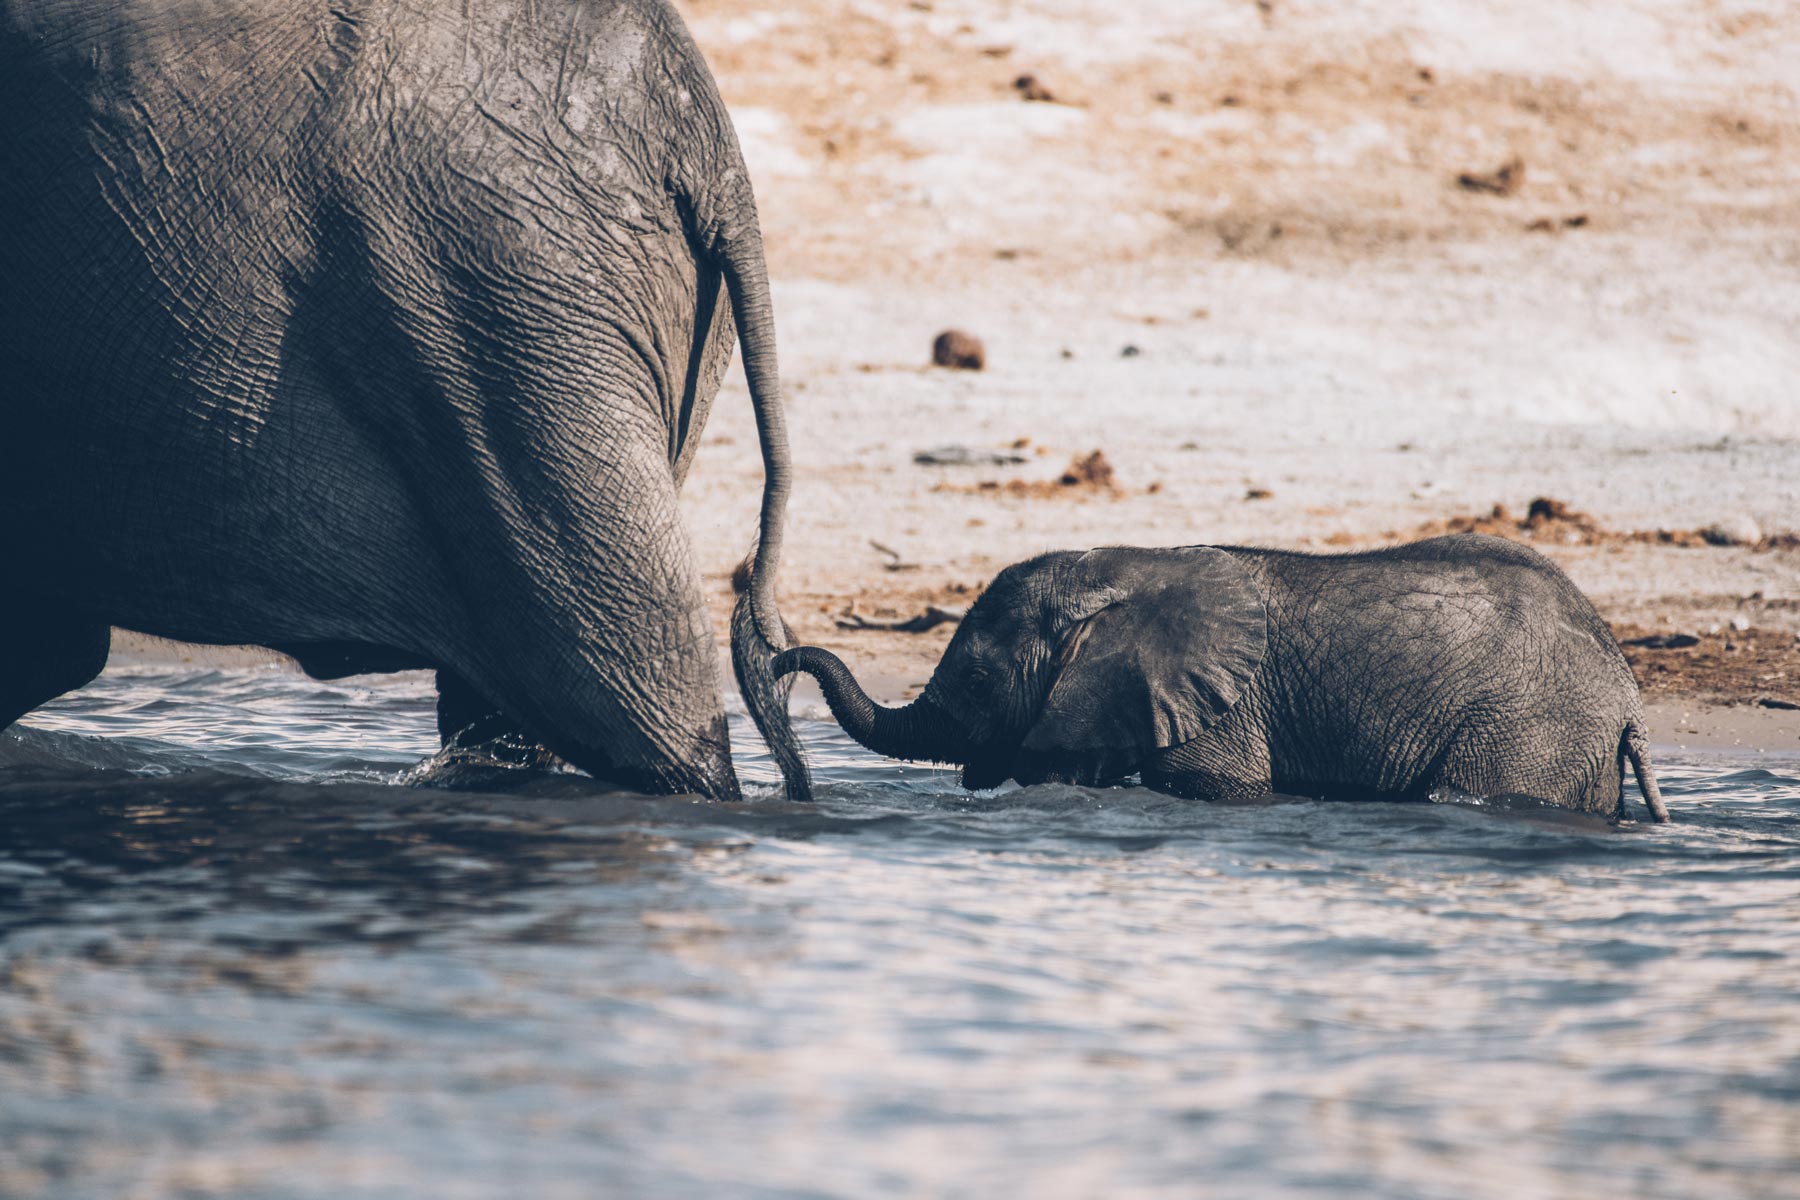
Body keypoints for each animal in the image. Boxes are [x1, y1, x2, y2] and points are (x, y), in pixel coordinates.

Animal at [774, 536, 1670, 827]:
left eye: (980, 677)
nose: (778, 657)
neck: (1121, 567)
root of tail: (1628, 694)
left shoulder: (1218, 711)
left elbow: (1219, 785)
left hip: (1530, 725)